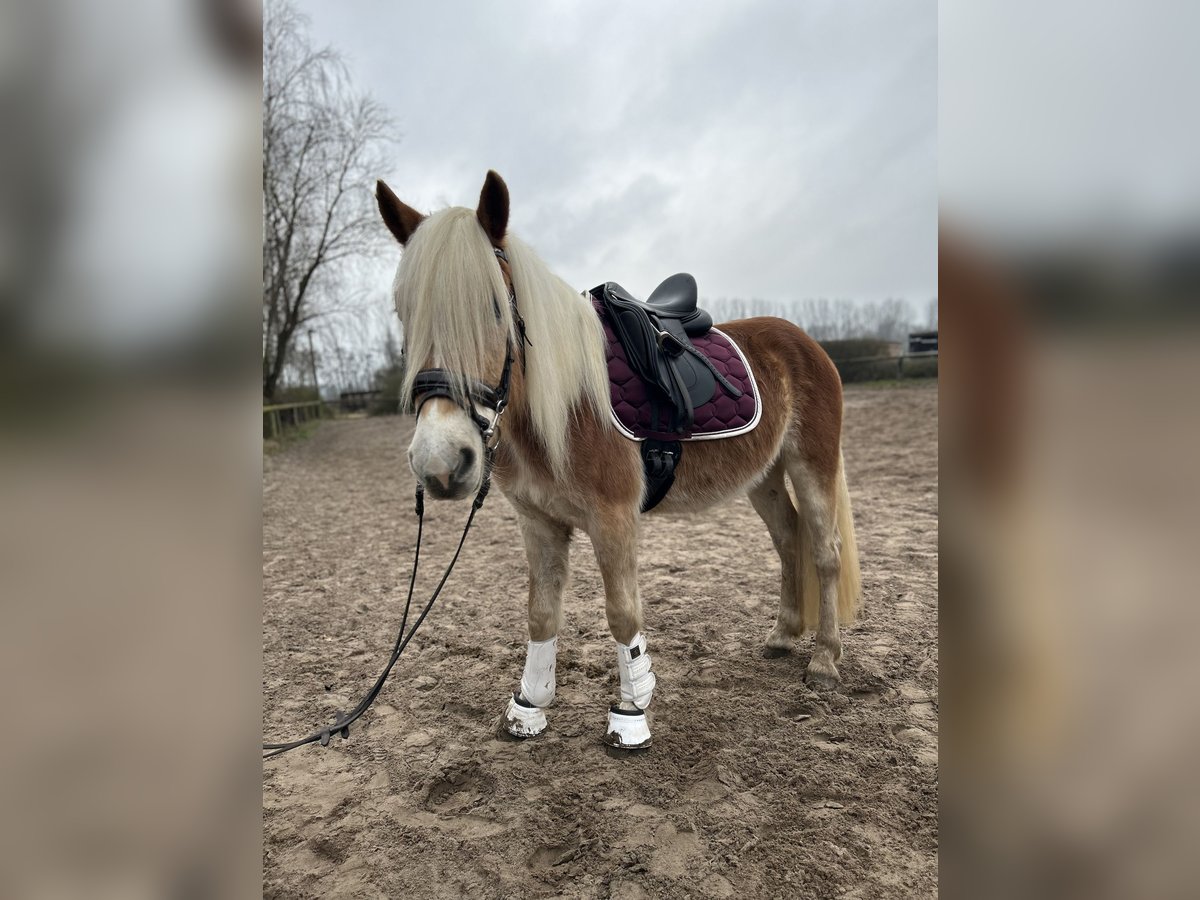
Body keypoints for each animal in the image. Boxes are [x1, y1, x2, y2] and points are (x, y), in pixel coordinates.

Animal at [379, 172, 859, 748]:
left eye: (495, 306)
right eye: (404, 313)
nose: (441, 461)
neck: (564, 406)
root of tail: (806, 341)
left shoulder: (614, 518)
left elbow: (623, 615)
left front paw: (631, 715)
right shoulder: (537, 521)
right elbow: (541, 614)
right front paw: (529, 707)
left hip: (813, 464)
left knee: (825, 552)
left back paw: (825, 661)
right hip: (762, 477)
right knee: (788, 539)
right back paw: (784, 635)